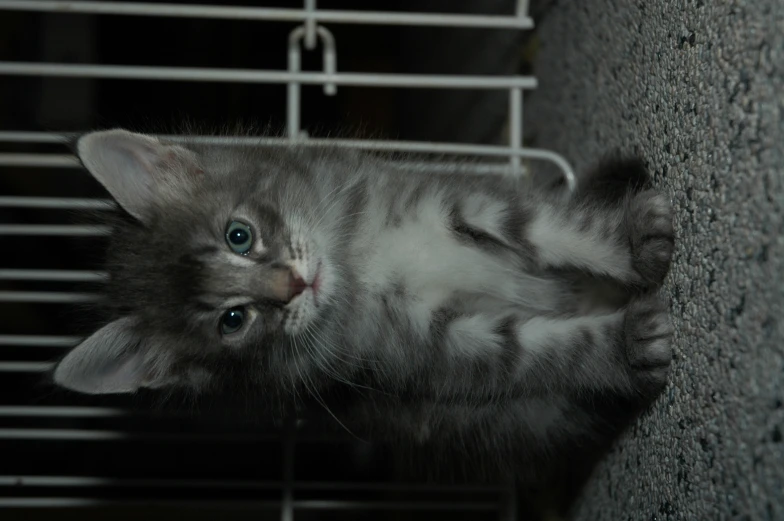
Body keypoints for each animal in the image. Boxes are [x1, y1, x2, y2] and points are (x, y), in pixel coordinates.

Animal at [52, 130, 672, 476]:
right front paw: (626, 344)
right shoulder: (433, 350)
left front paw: (629, 242)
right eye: (233, 320)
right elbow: (544, 352)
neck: (357, 263)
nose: (295, 286)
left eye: (239, 235)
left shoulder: (462, 201)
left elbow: (549, 228)